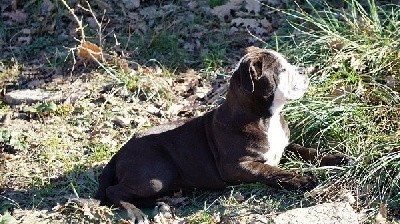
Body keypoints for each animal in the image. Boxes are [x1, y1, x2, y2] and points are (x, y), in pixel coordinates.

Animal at [94, 46, 350, 222]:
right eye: (283, 70)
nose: (305, 71)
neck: (265, 116)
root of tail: (119, 153)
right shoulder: (238, 165)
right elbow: (272, 171)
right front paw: (300, 179)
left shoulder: (283, 146)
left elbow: (308, 151)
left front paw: (338, 158)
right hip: (157, 175)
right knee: (113, 191)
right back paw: (135, 212)